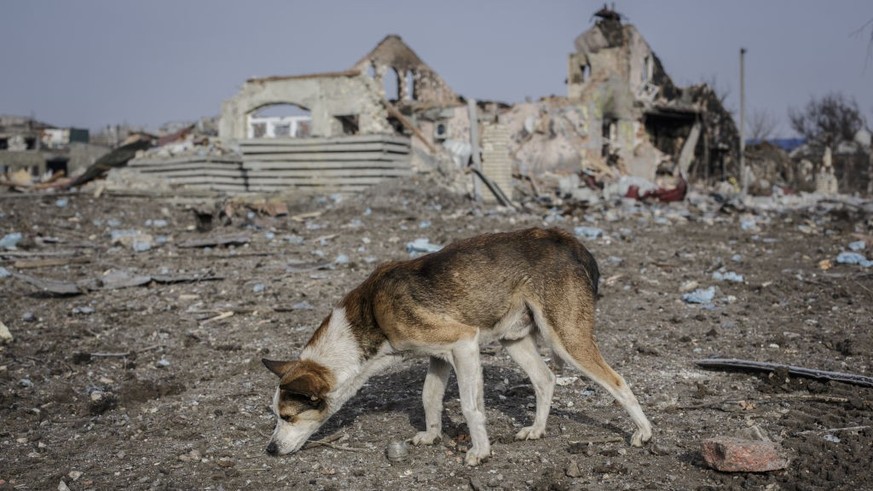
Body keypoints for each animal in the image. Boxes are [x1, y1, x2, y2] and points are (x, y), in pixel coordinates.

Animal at [262, 227, 652, 466]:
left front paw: (480, 452)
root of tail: (566, 239)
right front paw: (433, 435)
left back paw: (644, 432)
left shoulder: (464, 342)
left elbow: (469, 406)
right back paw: (537, 429)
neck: (368, 318)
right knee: (545, 379)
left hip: (567, 339)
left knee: (618, 382)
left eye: (288, 416)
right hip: (515, 340)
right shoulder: (441, 357)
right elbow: (429, 398)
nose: (270, 449)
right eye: (276, 415)